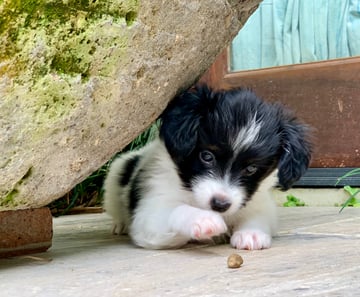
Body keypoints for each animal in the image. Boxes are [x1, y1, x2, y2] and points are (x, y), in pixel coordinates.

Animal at [102, 85, 310, 247]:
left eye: (251, 169)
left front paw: (251, 233)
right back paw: (119, 224)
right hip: (114, 181)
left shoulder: (259, 203)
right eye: (207, 156)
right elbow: (177, 210)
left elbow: (257, 216)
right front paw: (202, 219)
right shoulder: (148, 219)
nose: (220, 204)